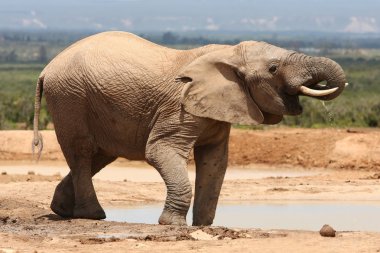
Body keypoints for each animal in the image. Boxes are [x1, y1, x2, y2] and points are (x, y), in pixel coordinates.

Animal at [32, 31, 348, 225]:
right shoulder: (180, 107)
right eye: (273, 68)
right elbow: (160, 150)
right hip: (70, 97)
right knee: (83, 152)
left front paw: (204, 226)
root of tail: (46, 68)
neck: (229, 54)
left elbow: (215, 161)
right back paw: (93, 216)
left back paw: (61, 210)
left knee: (100, 155)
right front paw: (173, 225)